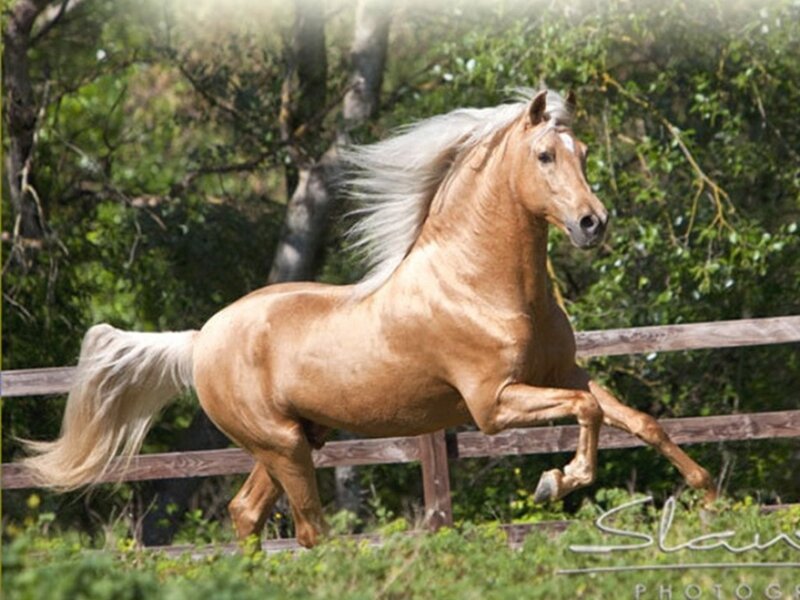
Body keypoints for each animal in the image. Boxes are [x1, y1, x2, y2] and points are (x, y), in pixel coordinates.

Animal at [21, 89, 716, 548]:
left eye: (583, 150)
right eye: (545, 155)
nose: (593, 224)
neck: (480, 286)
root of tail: (200, 339)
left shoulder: (563, 372)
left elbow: (636, 419)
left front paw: (706, 492)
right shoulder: (492, 405)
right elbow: (590, 413)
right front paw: (556, 482)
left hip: (294, 440)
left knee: (247, 514)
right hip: (283, 446)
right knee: (311, 531)